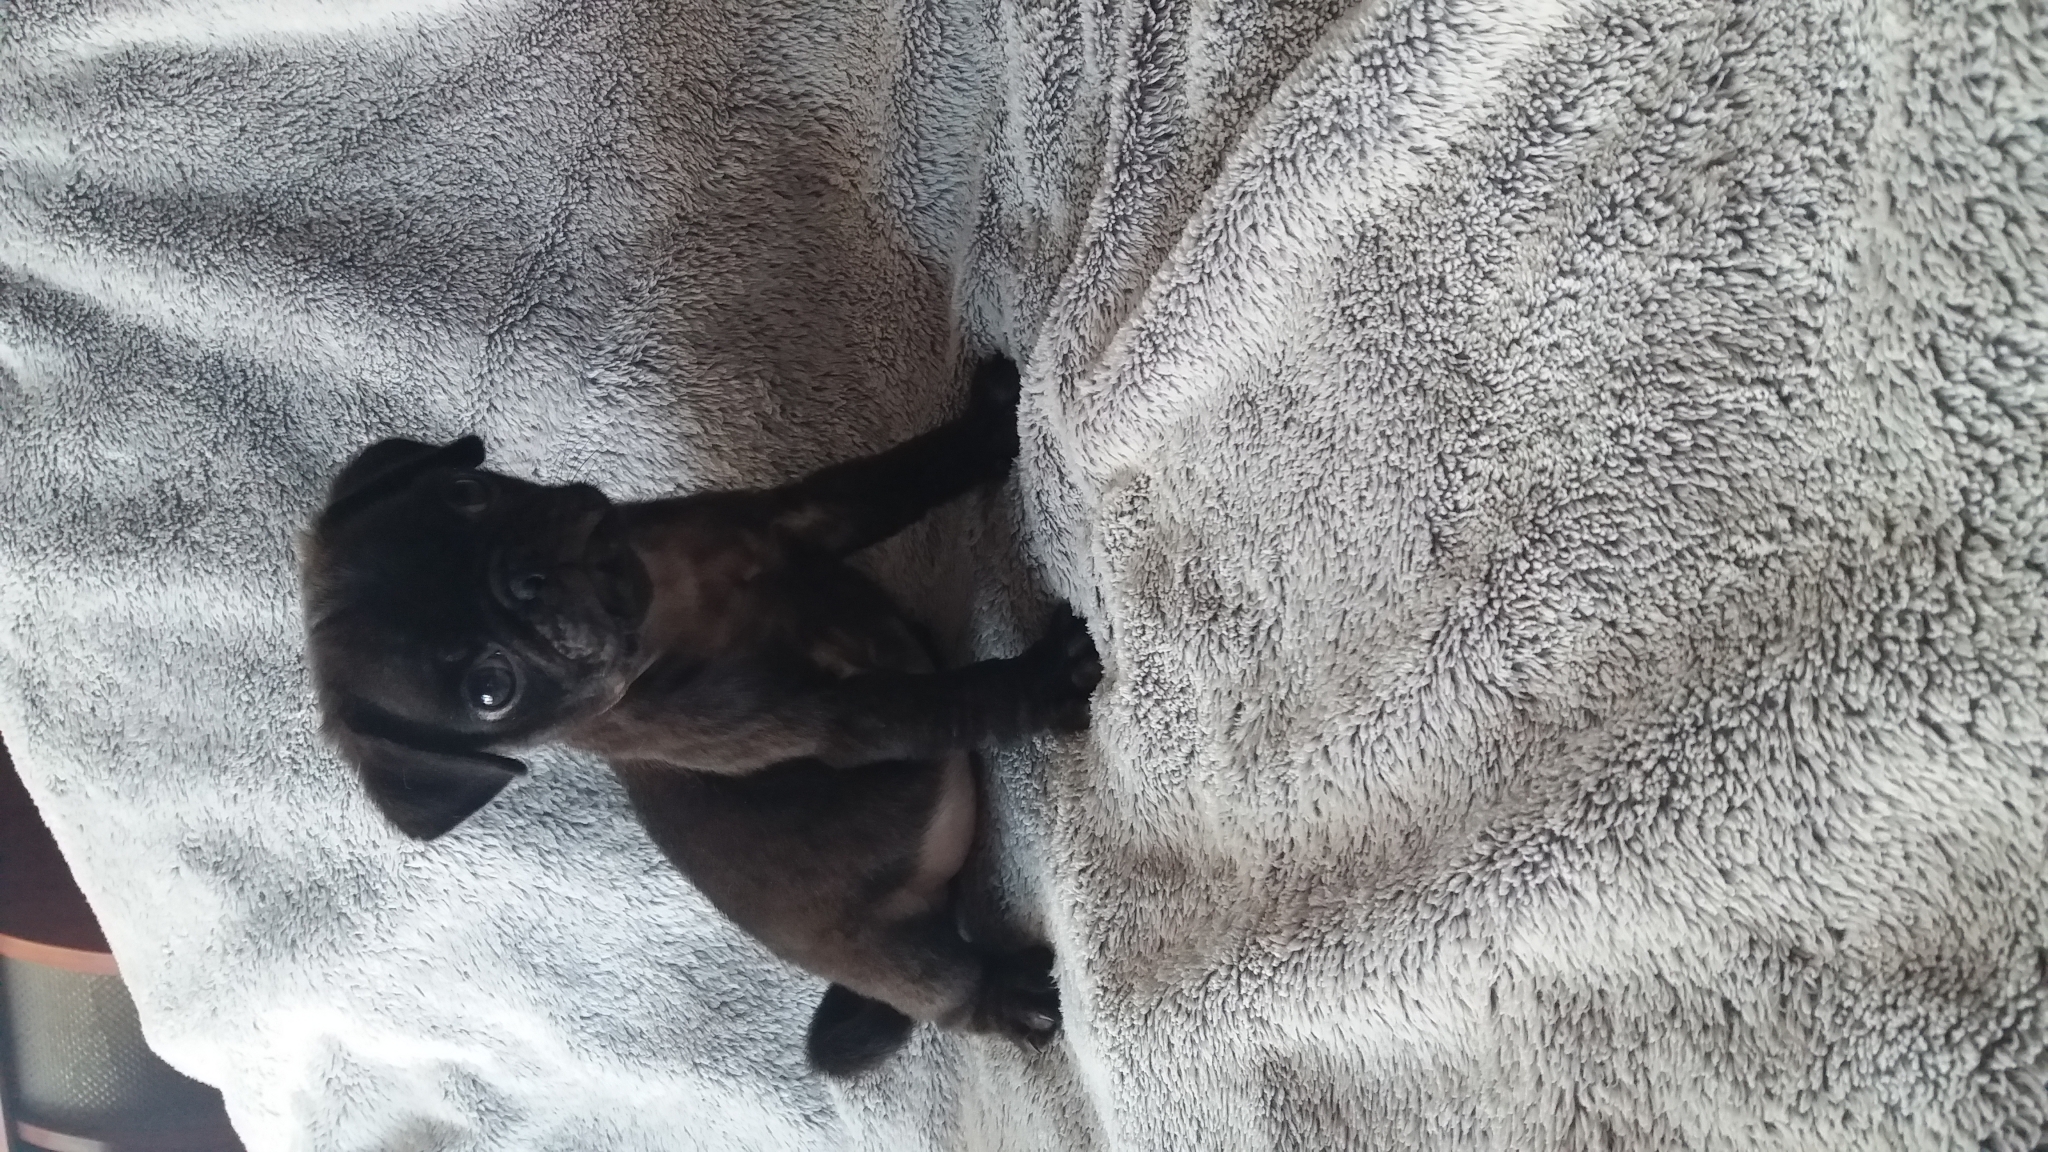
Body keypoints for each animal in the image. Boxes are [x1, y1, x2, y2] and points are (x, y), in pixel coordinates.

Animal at [298, 356, 1100, 1076]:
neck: (672, 603)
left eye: (467, 493)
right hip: (898, 954)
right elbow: (948, 702)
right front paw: (1045, 679)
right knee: (948, 992)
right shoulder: (832, 716)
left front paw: (986, 429)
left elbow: (898, 478)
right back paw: (1014, 999)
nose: (523, 580)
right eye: (491, 692)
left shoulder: (795, 520)